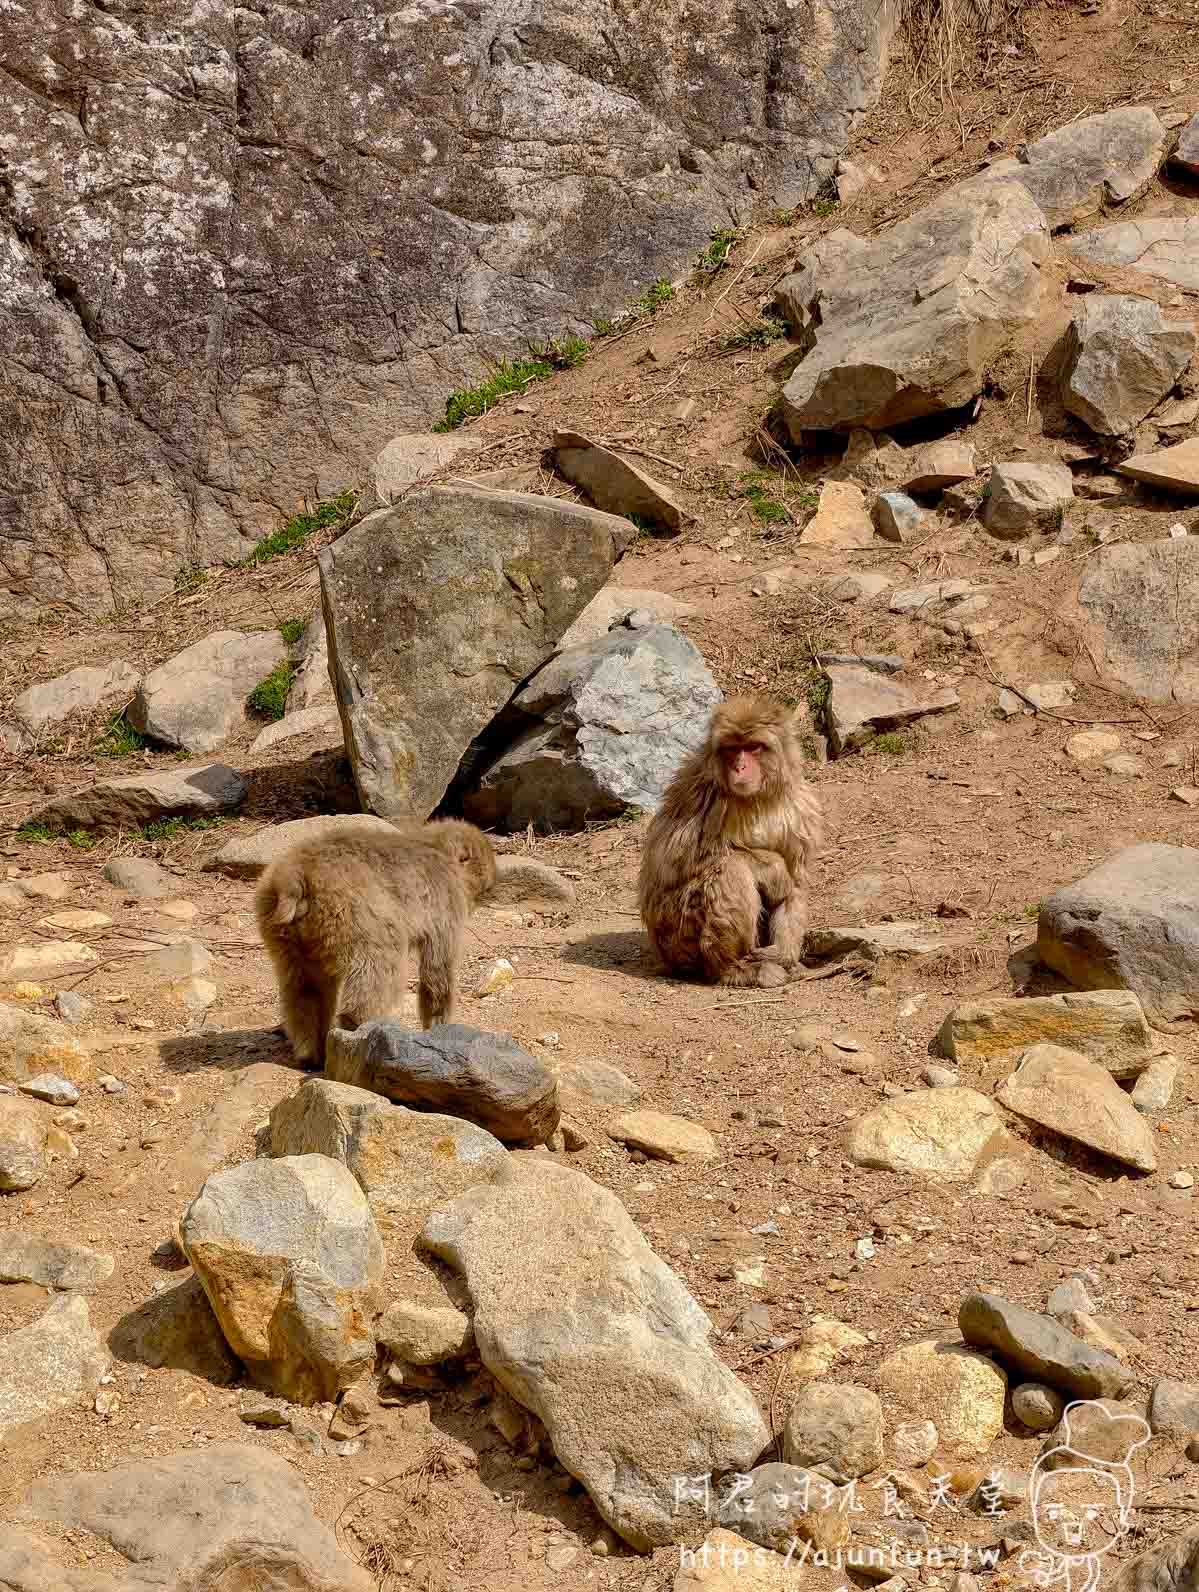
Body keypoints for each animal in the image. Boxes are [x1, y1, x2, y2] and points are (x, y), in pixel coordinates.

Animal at [255, 817, 496, 1067]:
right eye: (483, 888)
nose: (474, 904)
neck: (436, 847)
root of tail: (295, 875)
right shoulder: (447, 899)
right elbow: (437, 972)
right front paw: (439, 1028)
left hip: (276, 918)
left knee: (304, 987)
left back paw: (311, 1052)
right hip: (350, 910)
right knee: (379, 961)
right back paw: (359, 1025)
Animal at [637, 696, 824, 988]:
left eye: (753, 747)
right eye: (733, 749)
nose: (739, 766)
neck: (756, 799)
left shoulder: (798, 809)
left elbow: (797, 878)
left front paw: (785, 954)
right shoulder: (699, 793)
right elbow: (675, 863)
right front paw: (774, 869)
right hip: (677, 936)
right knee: (730, 869)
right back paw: (732, 968)